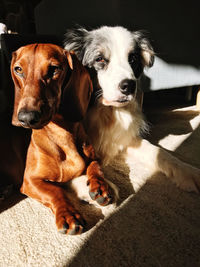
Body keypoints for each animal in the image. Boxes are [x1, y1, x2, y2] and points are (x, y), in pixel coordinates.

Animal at [10, 43, 114, 234]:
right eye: (18, 69)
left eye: (54, 69)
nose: (26, 118)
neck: (62, 133)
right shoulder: (29, 181)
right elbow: (55, 191)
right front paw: (68, 214)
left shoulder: (94, 158)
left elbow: (96, 167)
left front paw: (100, 186)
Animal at [64, 26, 200, 195]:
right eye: (99, 59)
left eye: (133, 59)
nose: (129, 86)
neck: (105, 112)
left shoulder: (122, 138)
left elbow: (159, 152)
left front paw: (189, 172)